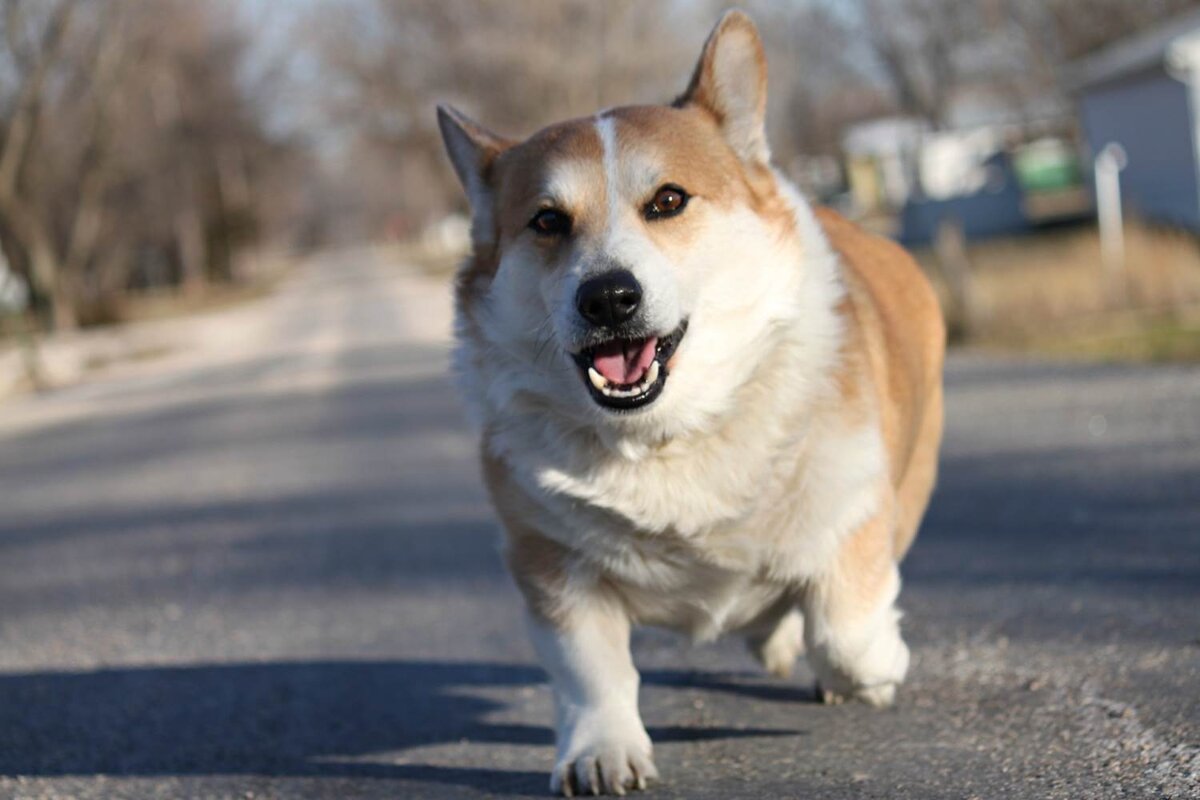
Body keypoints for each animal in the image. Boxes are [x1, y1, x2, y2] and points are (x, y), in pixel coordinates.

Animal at [436, 10, 940, 796]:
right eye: (547, 222)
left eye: (668, 201)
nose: (608, 298)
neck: (666, 436)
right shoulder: (551, 564)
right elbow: (591, 672)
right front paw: (602, 751)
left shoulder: (856, 504)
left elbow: (847, 631)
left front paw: (876, 667)